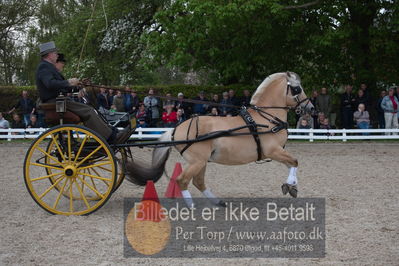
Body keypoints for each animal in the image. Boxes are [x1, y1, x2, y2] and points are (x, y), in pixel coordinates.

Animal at [126, 71, 314, 207]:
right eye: (297, 89)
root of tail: (176, 129)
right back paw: (191, 206)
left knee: (198, 182)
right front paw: (290, 185)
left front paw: (292, 186)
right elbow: (295, 161)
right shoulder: (273, 151)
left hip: (201, 162)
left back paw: (217, 201)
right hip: (197, 161)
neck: (266, 118)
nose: (311, 108)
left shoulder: (277, 152)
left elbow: (292, 164)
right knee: (183, 180)